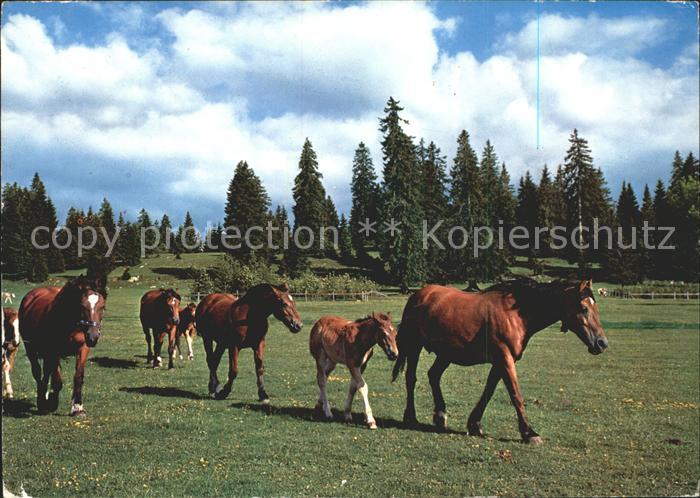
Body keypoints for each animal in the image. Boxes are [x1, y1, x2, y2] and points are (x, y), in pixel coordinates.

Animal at [18, 275, 107, 415]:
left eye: (102, 307)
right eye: (82, 306)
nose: (93, 336)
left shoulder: (83, 348)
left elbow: (78, 377)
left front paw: (77, 407)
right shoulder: (54, 352)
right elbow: (57, 380)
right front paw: (52, 402)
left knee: (46, 372)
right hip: (31, 349)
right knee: (37, 372)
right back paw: (42, 401)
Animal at [392, 278, 608, 444]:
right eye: (584, 308)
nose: (602, 343)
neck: (516, 314)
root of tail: (418, 295)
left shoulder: (501, 361)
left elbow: (489, 390)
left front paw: (475, 424)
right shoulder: (505, 359)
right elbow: (515, 395)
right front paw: (529, 433)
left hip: (446, 354)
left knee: (433, 375)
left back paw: (440, 415)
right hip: (415, 346)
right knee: (411, 379)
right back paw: (411, 417)